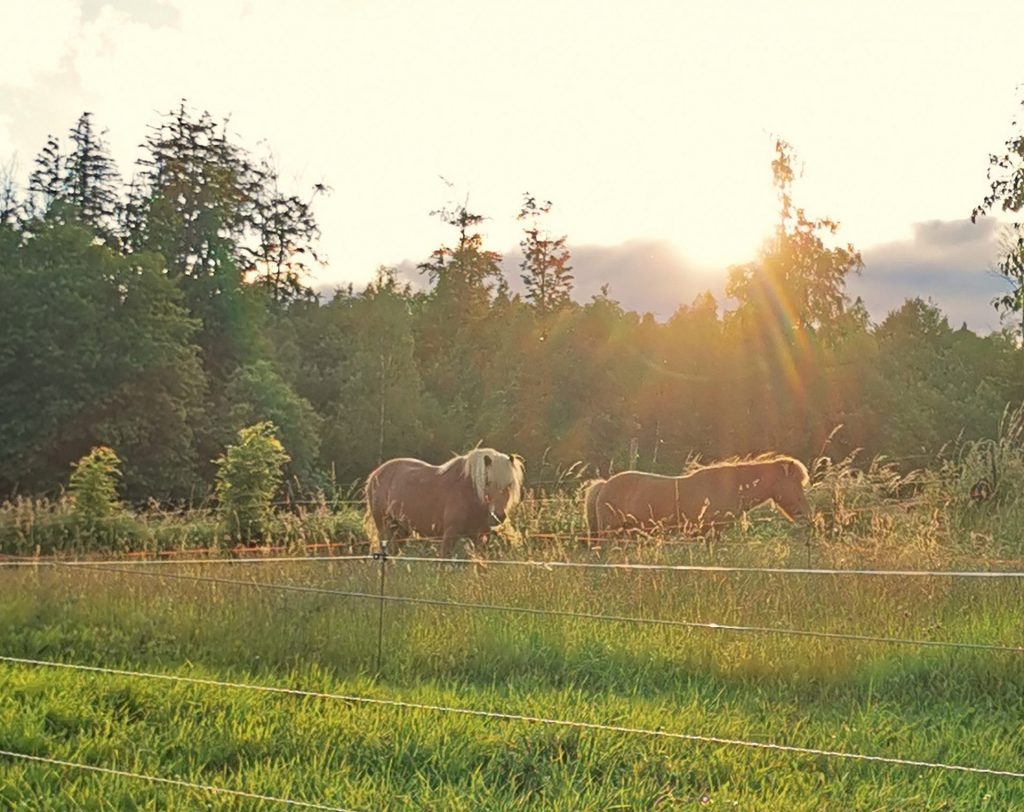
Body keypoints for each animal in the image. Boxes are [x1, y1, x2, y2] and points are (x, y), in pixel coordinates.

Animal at [364, 446, 524, 552]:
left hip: (401, 530)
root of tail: (375, 474)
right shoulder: (450, 535)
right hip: (385, 528)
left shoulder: (481, 537)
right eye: (488, 482)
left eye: (509, 484)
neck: (469, 494)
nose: (498, 516)